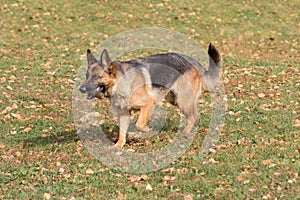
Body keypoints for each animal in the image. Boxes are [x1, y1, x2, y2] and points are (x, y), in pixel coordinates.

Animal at [79, 44, 220, 148]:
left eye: (96, 77)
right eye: (87, 76)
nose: (81, 89)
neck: (119, 82)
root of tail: (192, 61)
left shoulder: (148, 103)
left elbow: (139, 124)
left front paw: (147, 130)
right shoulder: (124, 114)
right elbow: (122, 133)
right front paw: (118, 146)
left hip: (182, 101)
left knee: (193, 117)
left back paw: (185, 133)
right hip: (175, 100)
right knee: (195, 116)